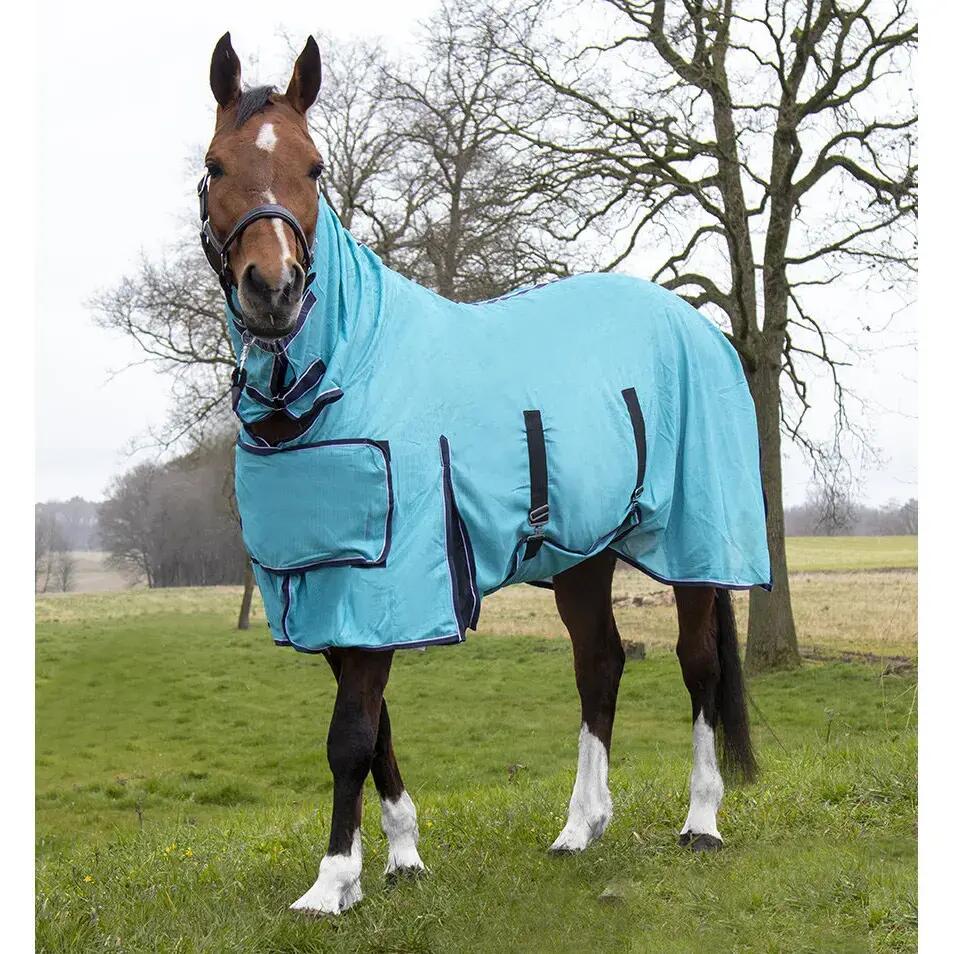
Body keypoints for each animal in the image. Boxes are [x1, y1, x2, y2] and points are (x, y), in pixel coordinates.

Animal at [200, 33, 767, 916]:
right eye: (216, 165)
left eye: (315, 167)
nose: (274, 290)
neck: (344, 368)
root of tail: (697, 326)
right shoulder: (334, 588)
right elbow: (377, 728)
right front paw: (398, 858)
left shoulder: (385, 581)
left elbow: (348, 736)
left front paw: (330, 884)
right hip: (581, 555)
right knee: (599, 664)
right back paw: (579, 829)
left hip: (697, 544)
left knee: (696, 665)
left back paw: (701, 821)